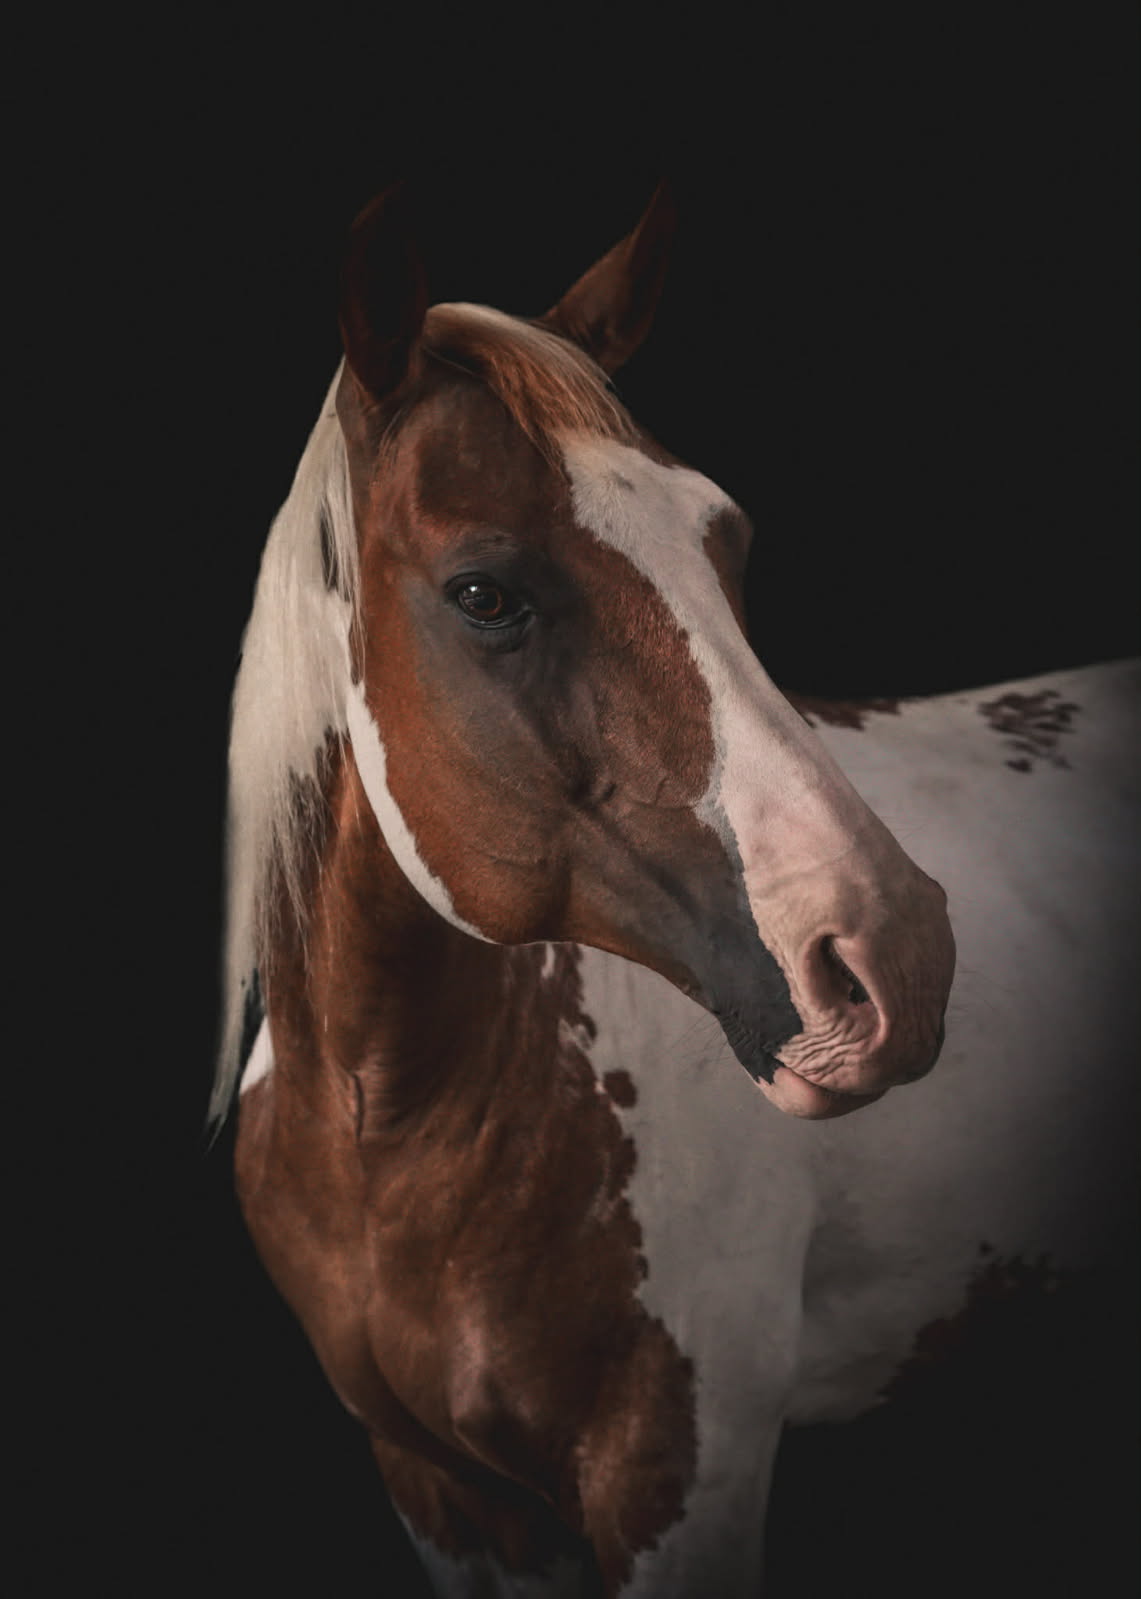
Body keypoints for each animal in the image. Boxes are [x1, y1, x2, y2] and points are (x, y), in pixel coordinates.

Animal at [212, 182, 1140, 1597]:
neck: (397, 1132)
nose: (895, 954)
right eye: (483, 593)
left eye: (727, 541)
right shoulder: (439, 1495)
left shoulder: (679, 1482)